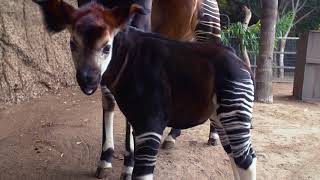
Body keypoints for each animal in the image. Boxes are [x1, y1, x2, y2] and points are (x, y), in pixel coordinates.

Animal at [33, 1, 256, 179]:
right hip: (221, 115)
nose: (88, 80)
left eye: (107, 47)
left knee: (245, 159)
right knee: (236, 155)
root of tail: (240, 62)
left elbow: (142, 173)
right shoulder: (137, 121)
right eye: (72, 44)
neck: (127, 59)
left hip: (232, 108)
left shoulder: (151, 123)